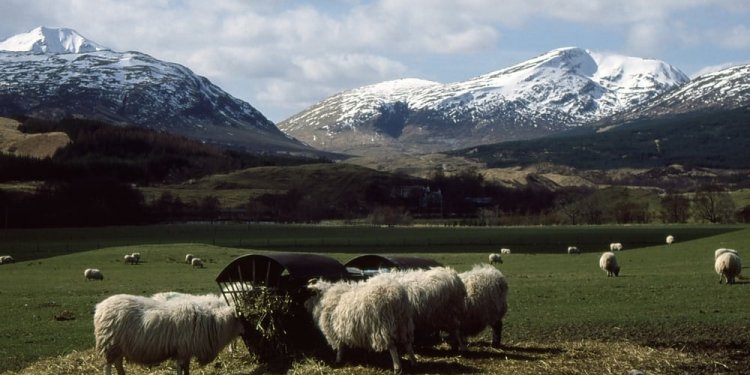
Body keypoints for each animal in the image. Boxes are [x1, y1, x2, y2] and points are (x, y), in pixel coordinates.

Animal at [92, 294, 242, 375]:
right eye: (243, 319)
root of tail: (100, 307)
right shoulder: (182, 350)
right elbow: (180, 368)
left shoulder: (186, 351)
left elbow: (186, 368)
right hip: (109, 344)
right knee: (108, 366)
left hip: (118, 346)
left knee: (118, 363)